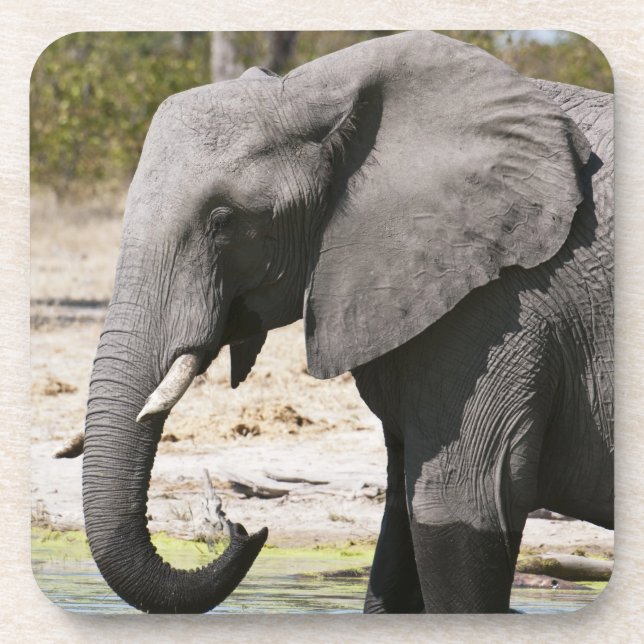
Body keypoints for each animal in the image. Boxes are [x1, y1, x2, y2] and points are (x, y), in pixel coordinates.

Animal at [77, 31, 613, 613]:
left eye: (224, 222)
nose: (243, 528)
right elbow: (401, 525)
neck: (318, 90)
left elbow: (460, 505)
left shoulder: (504, 305)